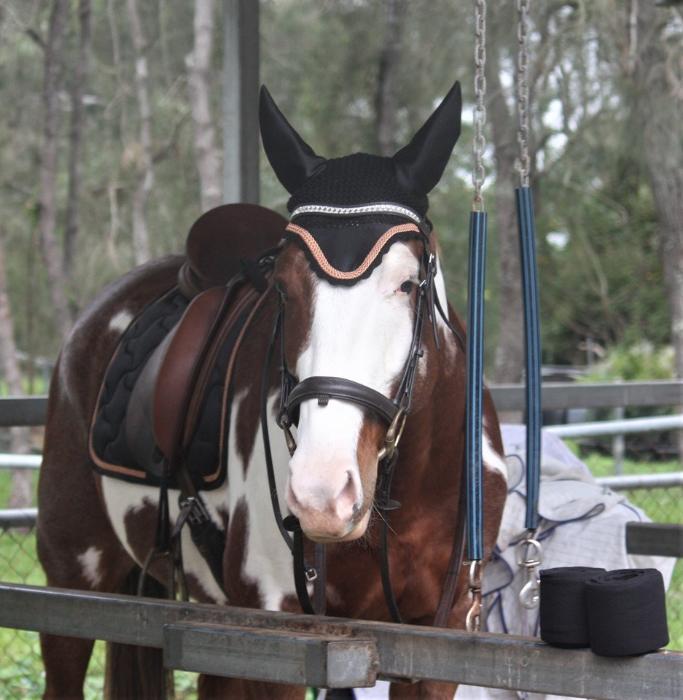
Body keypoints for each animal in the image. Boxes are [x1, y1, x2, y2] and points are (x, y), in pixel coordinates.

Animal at [36, 80, 508, 699]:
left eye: (408, 283)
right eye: (282, 288)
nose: (322, 495)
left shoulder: (441, 638)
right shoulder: (280, 633)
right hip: (74, 580)